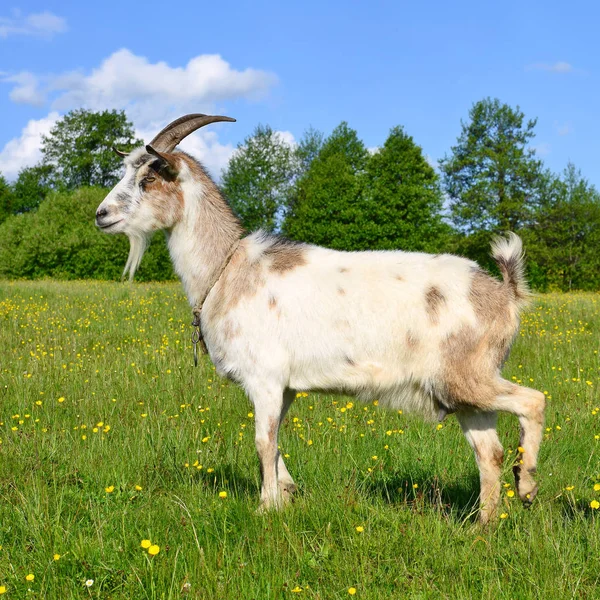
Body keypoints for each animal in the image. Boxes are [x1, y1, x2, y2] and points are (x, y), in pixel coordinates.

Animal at [96, 113, 548, 524]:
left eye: (148, 179)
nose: (101, 214)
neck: (227, 269)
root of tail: (505, 293)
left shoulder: (265, 377)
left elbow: (262, 441)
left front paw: (266, 507)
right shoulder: (285, 387)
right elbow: (276, 440)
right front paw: (287, 492)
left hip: (468, 375)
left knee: (532, 400)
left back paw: (526, 484)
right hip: (462, 394)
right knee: (489, 452)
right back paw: (483, 525)